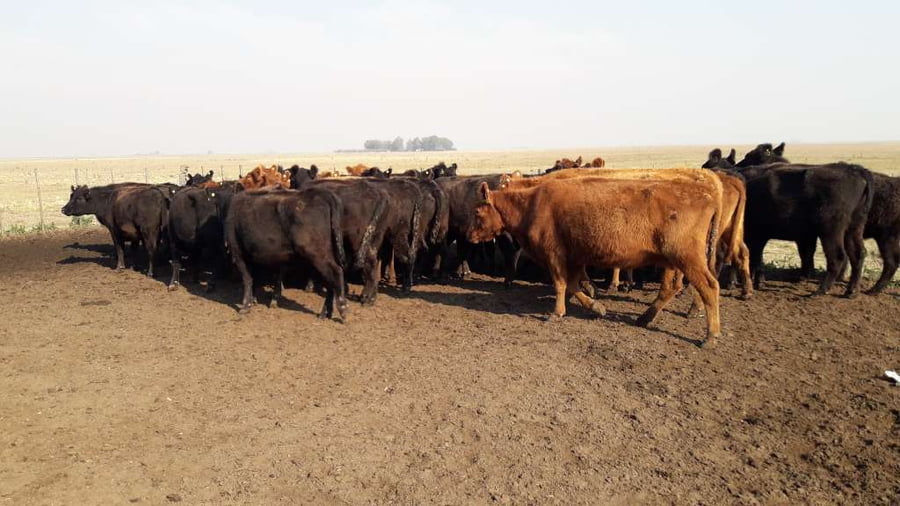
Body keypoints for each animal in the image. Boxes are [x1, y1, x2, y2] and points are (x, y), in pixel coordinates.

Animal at [224, 187, 348, 320]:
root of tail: (321, 193)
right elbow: (255, 278)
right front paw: (253, 300)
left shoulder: (238, 253)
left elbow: (248, 279)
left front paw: (245, 306)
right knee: (330, 281)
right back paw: (325, 313)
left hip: (318, 254)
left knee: (336, 272)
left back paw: (342, 308)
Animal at [468, 177, 723, 347]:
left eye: (478, 213)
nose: (468, 235)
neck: (531, 204)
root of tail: (706, 196)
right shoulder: (574, 258)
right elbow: (573, 285)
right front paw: (596, 306)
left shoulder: (554, 255)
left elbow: (561, 284)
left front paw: (557, 312)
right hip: (672, 261)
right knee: (671, 287)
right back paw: (645, 318)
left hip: (687, 258)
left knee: (709, 287)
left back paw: (710, 336)